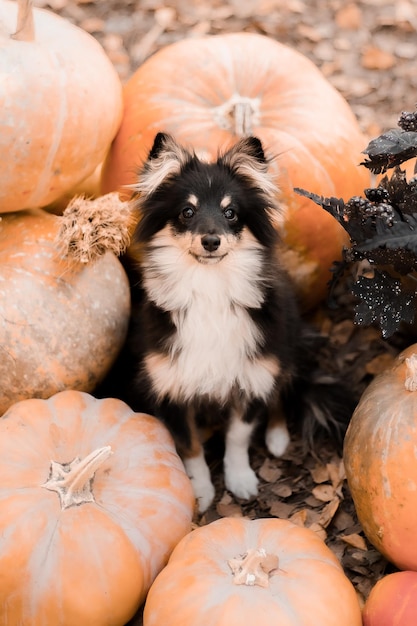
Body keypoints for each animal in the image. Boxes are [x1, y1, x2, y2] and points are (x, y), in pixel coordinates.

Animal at [123, 132, 352, 512]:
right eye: (187, 211)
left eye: (231, 213)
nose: (211, 240)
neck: (210, 286)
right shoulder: (170, 386)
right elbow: (190, 447)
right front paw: (200, 491)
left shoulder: (254, 371)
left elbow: (238, 435)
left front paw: (240, 479)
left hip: (285, 348)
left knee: (280, 393)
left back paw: (277, 437)